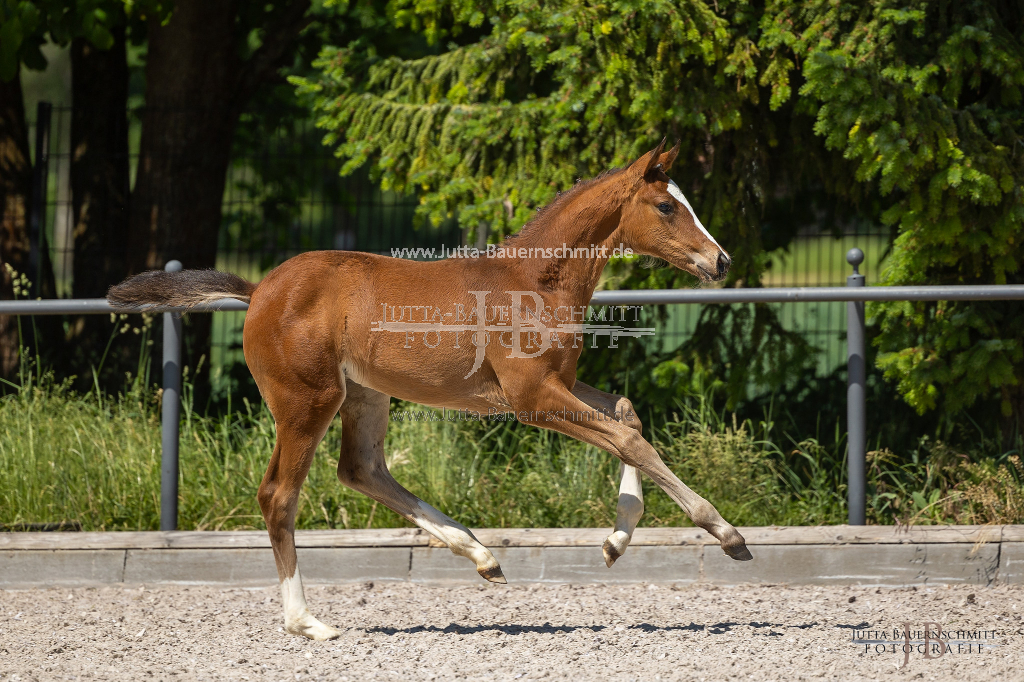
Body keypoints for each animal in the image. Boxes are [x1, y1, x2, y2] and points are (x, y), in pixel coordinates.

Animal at [110, 138, 753, 638]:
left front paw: (617, 542)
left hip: (364, 395)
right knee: (279, 495)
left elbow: (627, 414)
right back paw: (307, 621)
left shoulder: (559, 385)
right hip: (308, 401)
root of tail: (260, 290)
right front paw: (724, 532)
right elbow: (630, 440)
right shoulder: (531, 401)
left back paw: (481, 555)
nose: (721, 261)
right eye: (666, 206)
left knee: (361, 469)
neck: (534, 281)